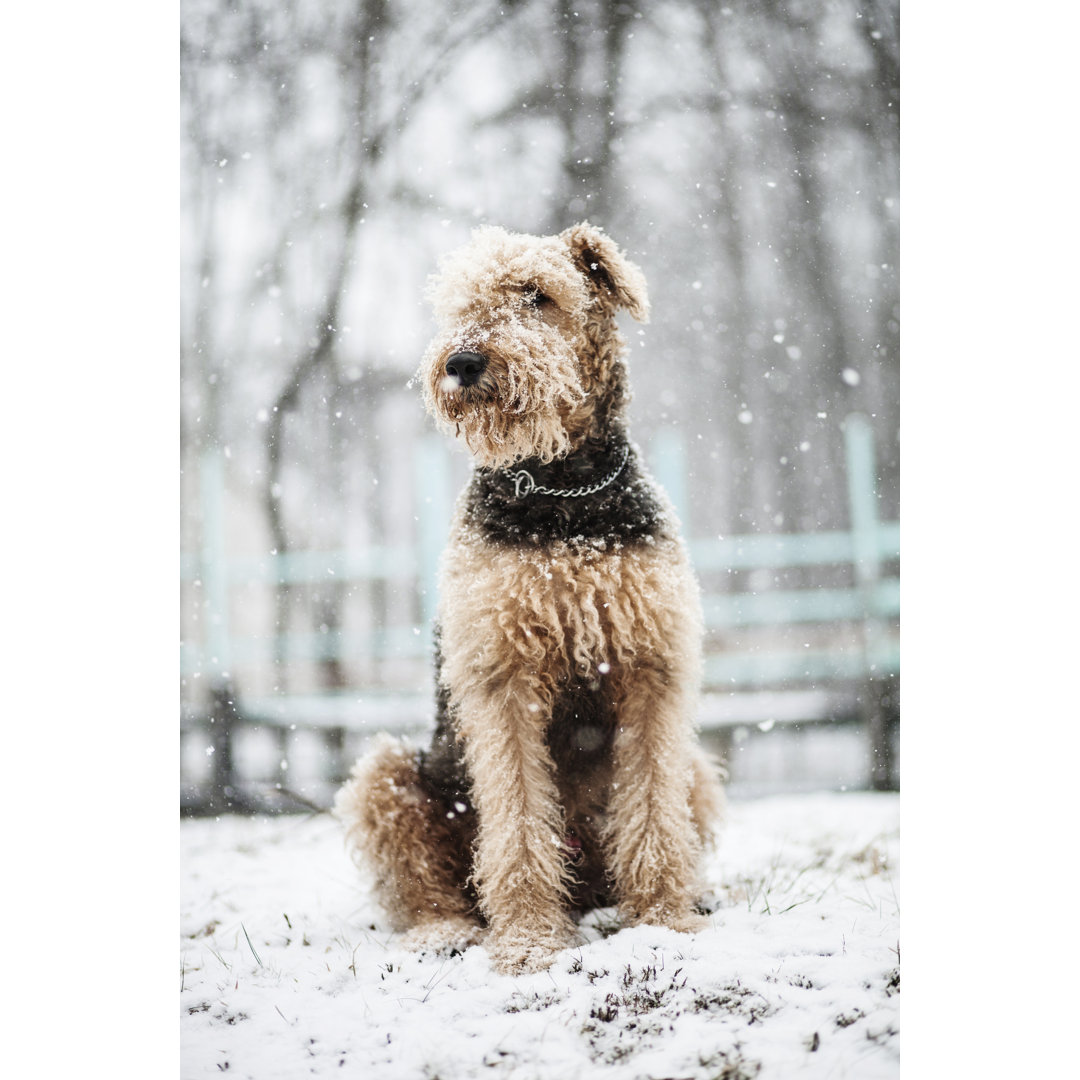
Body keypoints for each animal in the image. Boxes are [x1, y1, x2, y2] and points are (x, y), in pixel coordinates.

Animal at [334, 223, 725, 976]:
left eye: (537, 294)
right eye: (461, 302)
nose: (461, 362)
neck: (561, 495)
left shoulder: (651, 669)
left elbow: (652, 813)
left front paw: (664, 922)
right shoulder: (503, 677)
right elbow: (517, 822)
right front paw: (528, 942)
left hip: (694, 768)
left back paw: (689, 897)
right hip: (385, 775)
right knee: (428, 890)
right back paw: (447, 931)